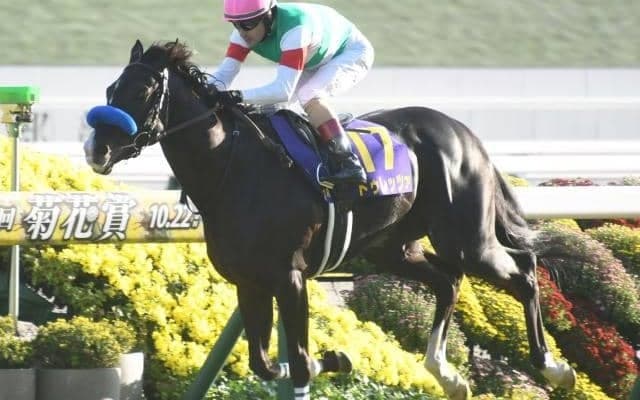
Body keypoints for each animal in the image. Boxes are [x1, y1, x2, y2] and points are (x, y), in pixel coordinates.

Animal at [83, 40, 576, 400]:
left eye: (143, 92)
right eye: (110, 90)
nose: (96, 150)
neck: (232, 170)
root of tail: (465, 132)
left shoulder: (290, 276)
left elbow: (301, 361)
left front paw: (335, 359)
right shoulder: (249, 280)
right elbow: (263, 362)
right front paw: (335, 359)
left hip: (465, 238)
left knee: (522, 271)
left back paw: (553, 367)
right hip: (392, 247)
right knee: (448, 281)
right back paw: (446, 373)